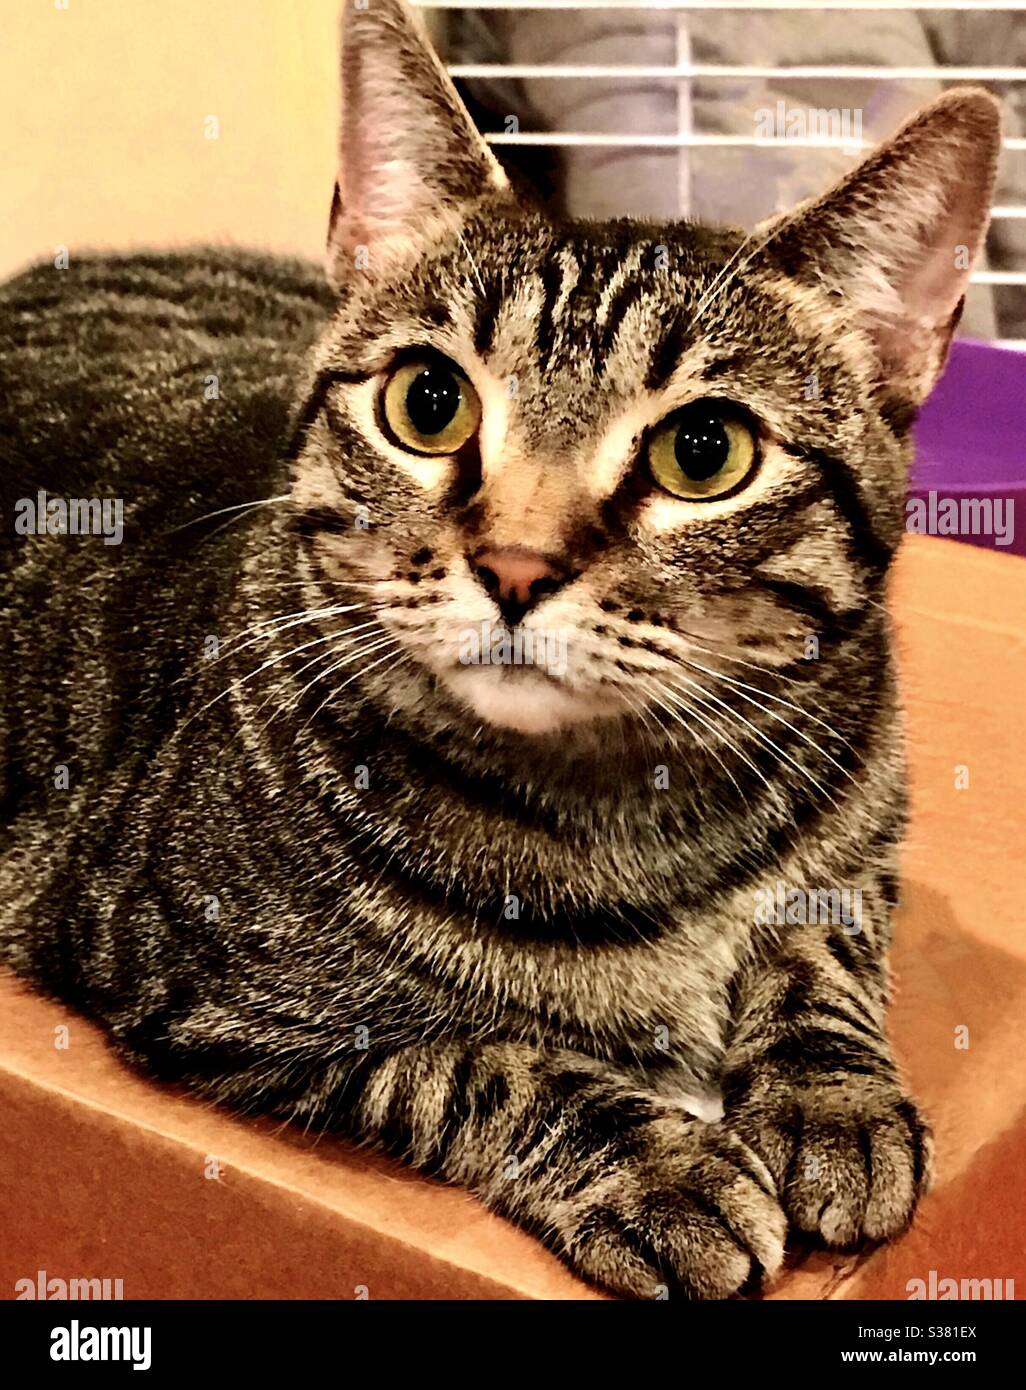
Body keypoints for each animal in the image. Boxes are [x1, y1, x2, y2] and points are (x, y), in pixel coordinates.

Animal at [0, 2, 989, 1301]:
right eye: (429, 402)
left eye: (706, 452)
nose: (516, 566)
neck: (642, 818)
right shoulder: (192, 972)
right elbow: (477, 1054)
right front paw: (663, 1165)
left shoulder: (868, 829)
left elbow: (819, 937)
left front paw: (832, 1097)